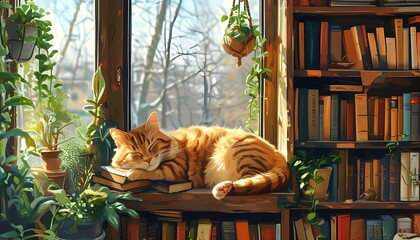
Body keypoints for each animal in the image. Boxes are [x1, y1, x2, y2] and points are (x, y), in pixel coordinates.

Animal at [110, 111, 290, 200]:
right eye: (136, 153)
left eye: (153, 146)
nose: (148, 159)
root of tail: (277, 151)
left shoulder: (176, 168)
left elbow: (154, 171)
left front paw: (133, 172)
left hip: (236, 150)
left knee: (249, 179)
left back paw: (222, 188)